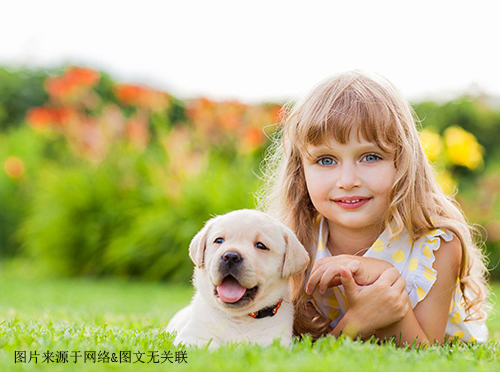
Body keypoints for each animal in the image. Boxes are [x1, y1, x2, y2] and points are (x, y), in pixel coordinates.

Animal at [166, 209, 310, 348]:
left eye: (261, 246)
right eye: (219, 240)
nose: (230, 256)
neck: (239, 317)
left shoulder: (273, 341)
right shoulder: (192, 336)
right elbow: (208, 347)